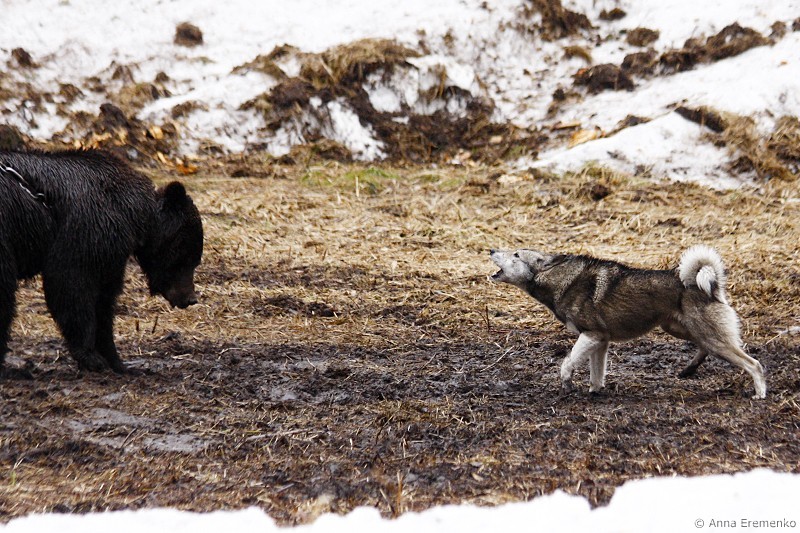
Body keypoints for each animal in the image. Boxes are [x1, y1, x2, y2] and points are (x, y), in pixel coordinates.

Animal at [489, 245, 766, 399]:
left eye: (515, 254)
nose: (490, 250)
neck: (559, 279)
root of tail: (712, 286)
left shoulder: (591, 335)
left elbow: (566, 364)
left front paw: (567, 386)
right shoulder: (600, 342)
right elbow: (596, 375)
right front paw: (595, 393)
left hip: (710, 337)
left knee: (754, 364)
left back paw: (760, 394)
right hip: (682, 330)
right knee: (705, 350)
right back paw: (688, 370)